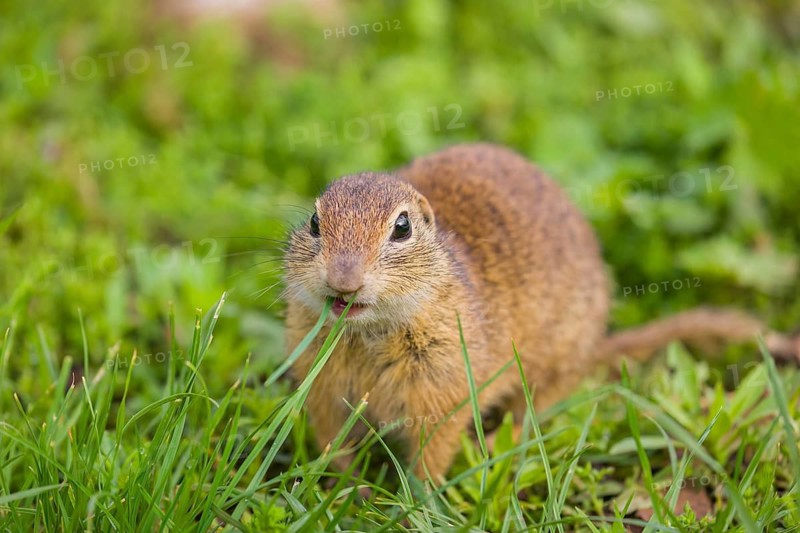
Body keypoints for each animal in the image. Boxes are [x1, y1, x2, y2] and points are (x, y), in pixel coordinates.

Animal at [282, 143, 799, 482]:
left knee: (530, 414)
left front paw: (416, 500)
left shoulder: (445, 389)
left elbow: (434, 449)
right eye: (314, 222)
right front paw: (337, 482)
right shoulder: (322, 387)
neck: (369, 333)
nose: (343, 279)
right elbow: (331, 438)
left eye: (402, 227)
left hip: (550, 369)